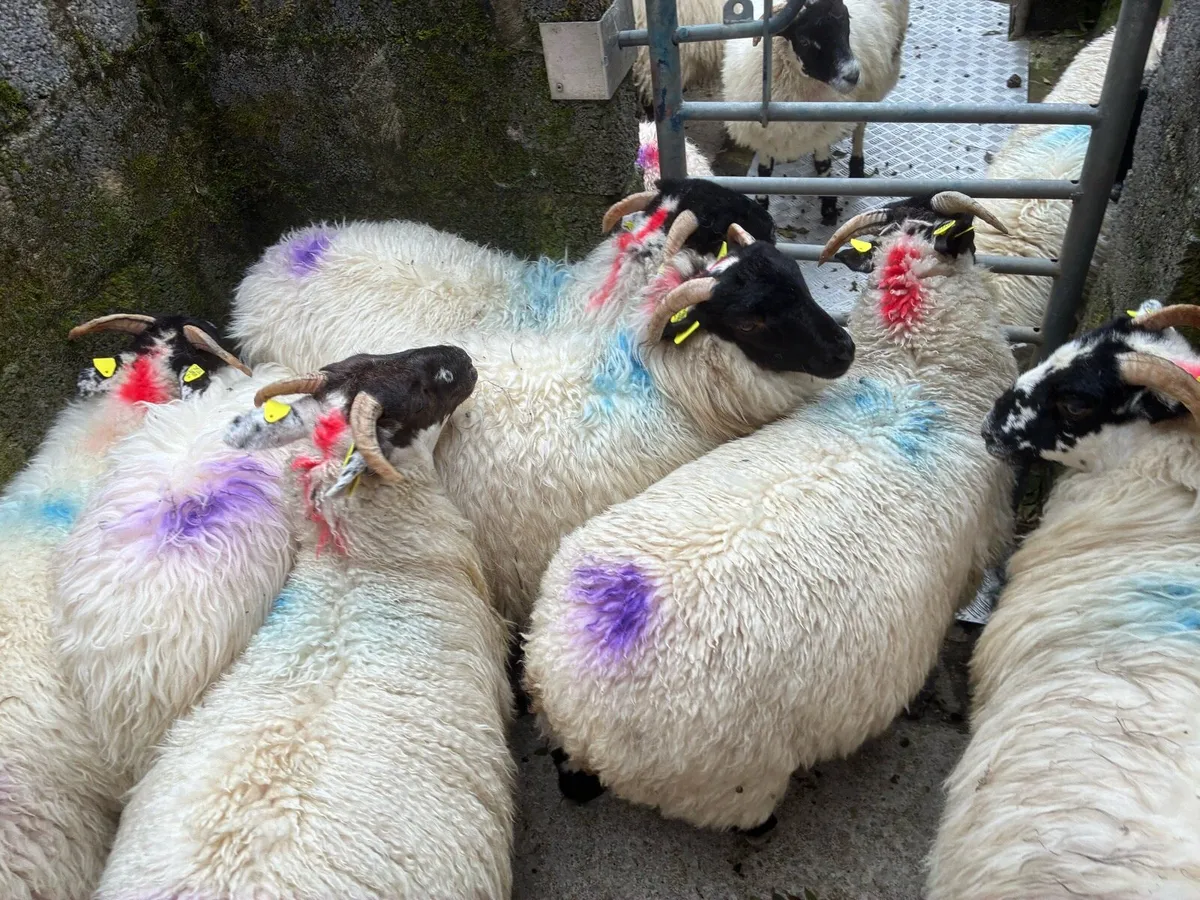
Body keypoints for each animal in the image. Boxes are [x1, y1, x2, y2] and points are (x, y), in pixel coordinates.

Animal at [522, 191, 1017, 832]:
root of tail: (568, 676)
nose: (843, 350)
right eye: (754, 321)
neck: (914, 379)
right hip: (730, 780)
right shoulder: (976, 554)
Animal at [722, 0, 910, 223]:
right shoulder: (764, 131)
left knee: (860, 126)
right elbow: (764, 170)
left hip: (874, 86)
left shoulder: (823, 125)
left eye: (846, 24)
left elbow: (824, 165)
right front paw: (762, 204)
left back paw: (857, 166)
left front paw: (828, 208)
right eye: (804, 40)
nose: (853, 76)